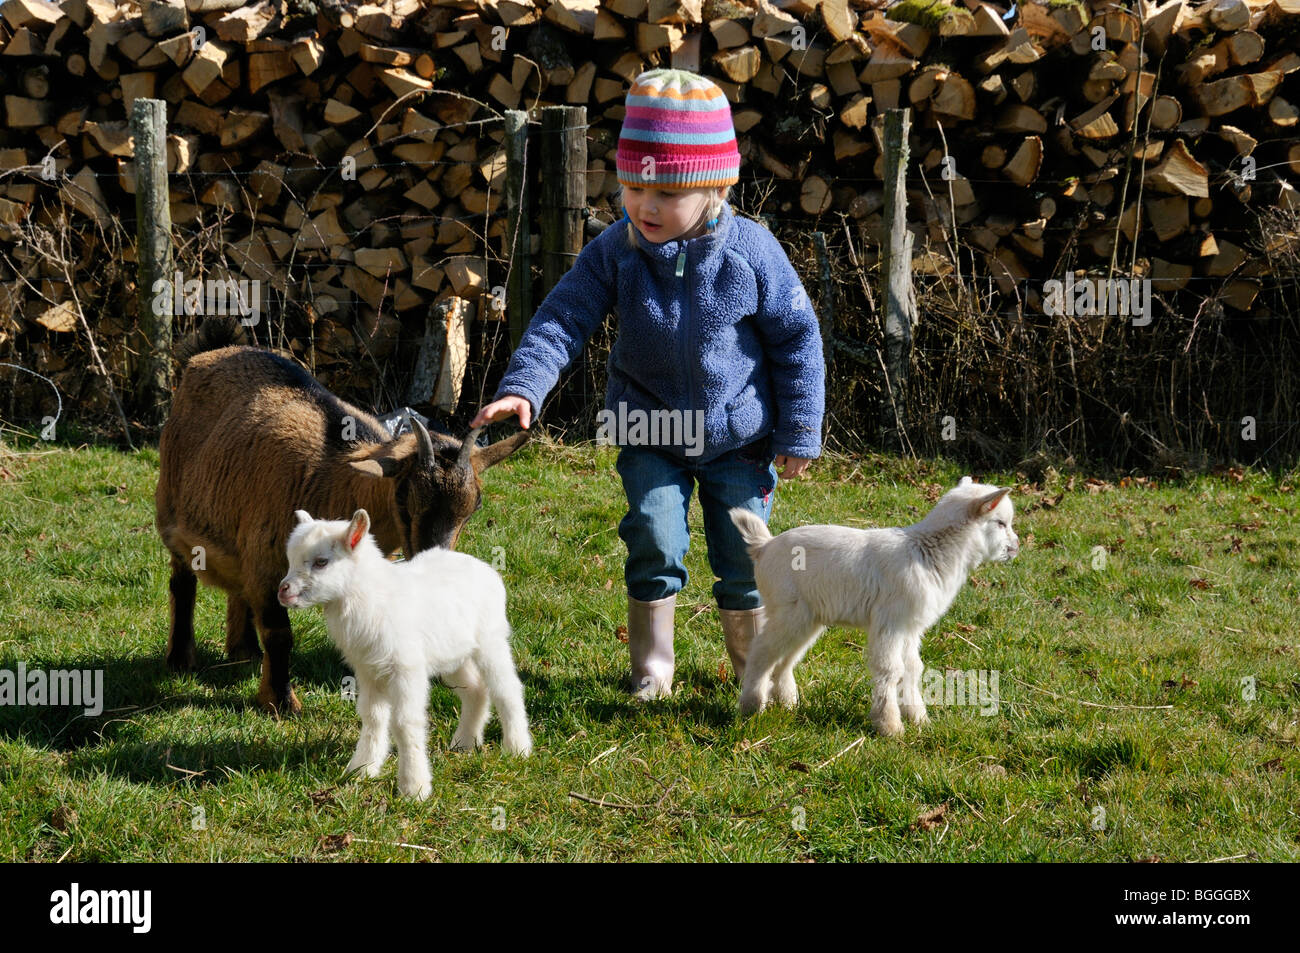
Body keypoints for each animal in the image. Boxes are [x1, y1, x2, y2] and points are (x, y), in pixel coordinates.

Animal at [156, 323, 527, 712]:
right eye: (404, 497)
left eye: (475, 506)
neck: (331, 477)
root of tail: (210, 351)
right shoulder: (265, 559)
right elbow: (279, 632)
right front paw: (282, 704)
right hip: (171, 512)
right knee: (182, 582)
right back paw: (180, 660)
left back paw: (244, 651)